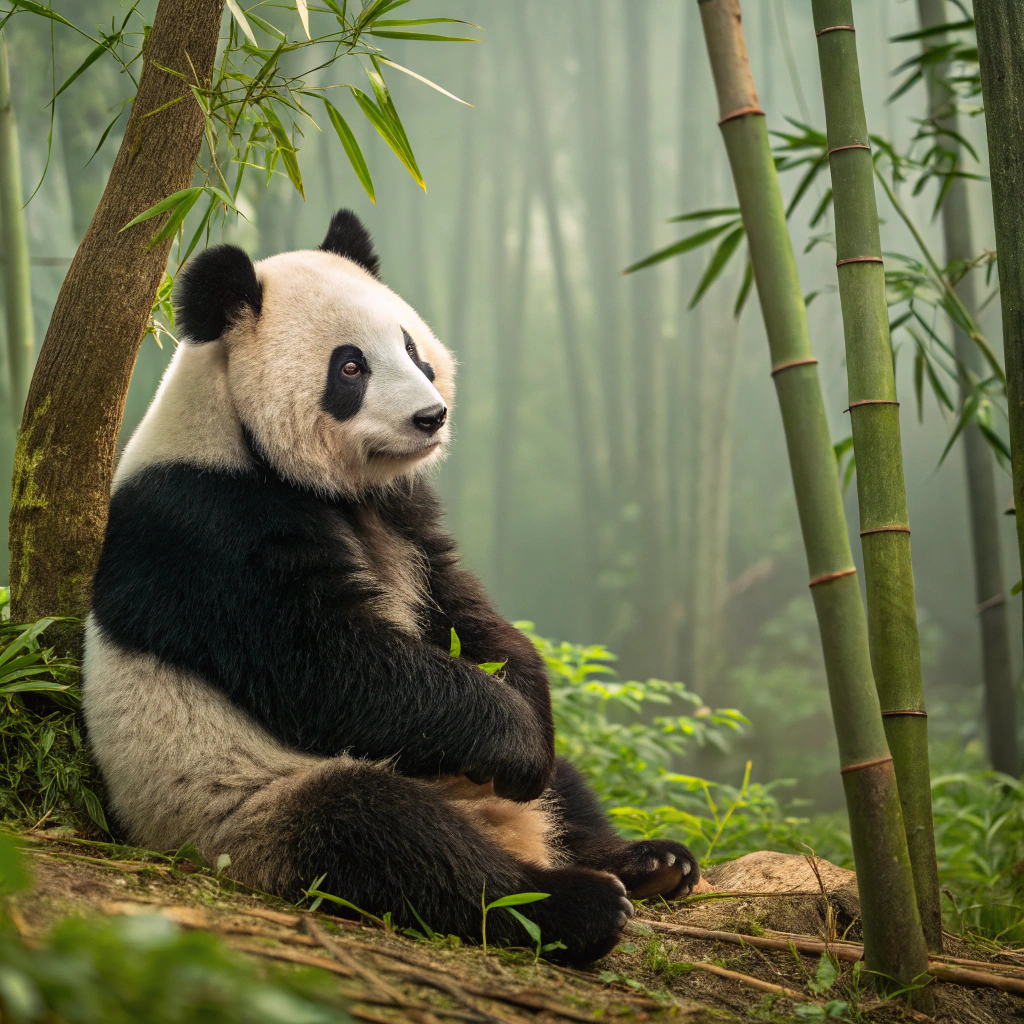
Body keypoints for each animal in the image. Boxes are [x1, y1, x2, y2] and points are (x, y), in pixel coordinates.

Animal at [83, 210, 699, 964]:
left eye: (411, 348)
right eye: (350, 367)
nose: (431, 417)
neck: (242, 435)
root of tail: (506, 830)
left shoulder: (400, 508)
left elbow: (460, 607)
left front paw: (529, 720)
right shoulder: (207, 527)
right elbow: (327, 661)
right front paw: (514, 744)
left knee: (568, 786)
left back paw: (646, 861)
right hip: (244, 804)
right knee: (384, 834)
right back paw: (571, 905)